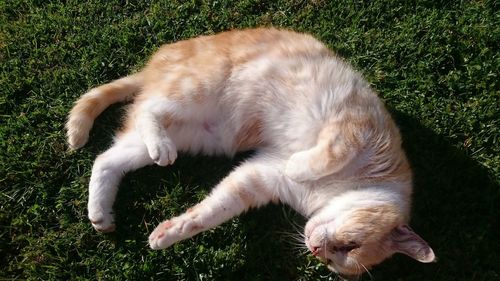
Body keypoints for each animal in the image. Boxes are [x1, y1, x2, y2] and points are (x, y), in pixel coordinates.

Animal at [66, 27, 434, 278]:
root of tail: (155, 62)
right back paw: (159, 147)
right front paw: (299, 164)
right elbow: (326, 156)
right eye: (349, 247)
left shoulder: (257, 179)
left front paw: (167, 235)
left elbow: (209, 213)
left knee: (106, 159)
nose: (315, 250)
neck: (329, 193)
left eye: (334, 262)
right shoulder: (356, 129)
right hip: (196, 89)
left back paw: (100, 214)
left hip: (187, 135)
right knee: (149, 111)